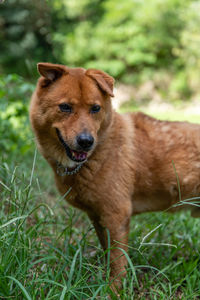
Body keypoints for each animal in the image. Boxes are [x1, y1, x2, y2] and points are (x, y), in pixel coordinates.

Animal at [29, 62, 200, 290]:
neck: (100, 149)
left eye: (95, 108)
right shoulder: (98, 217)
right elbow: (107, 253)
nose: (86, 141)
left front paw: (114, 291)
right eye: (65, 107)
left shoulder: (117, 215)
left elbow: (117, 264)